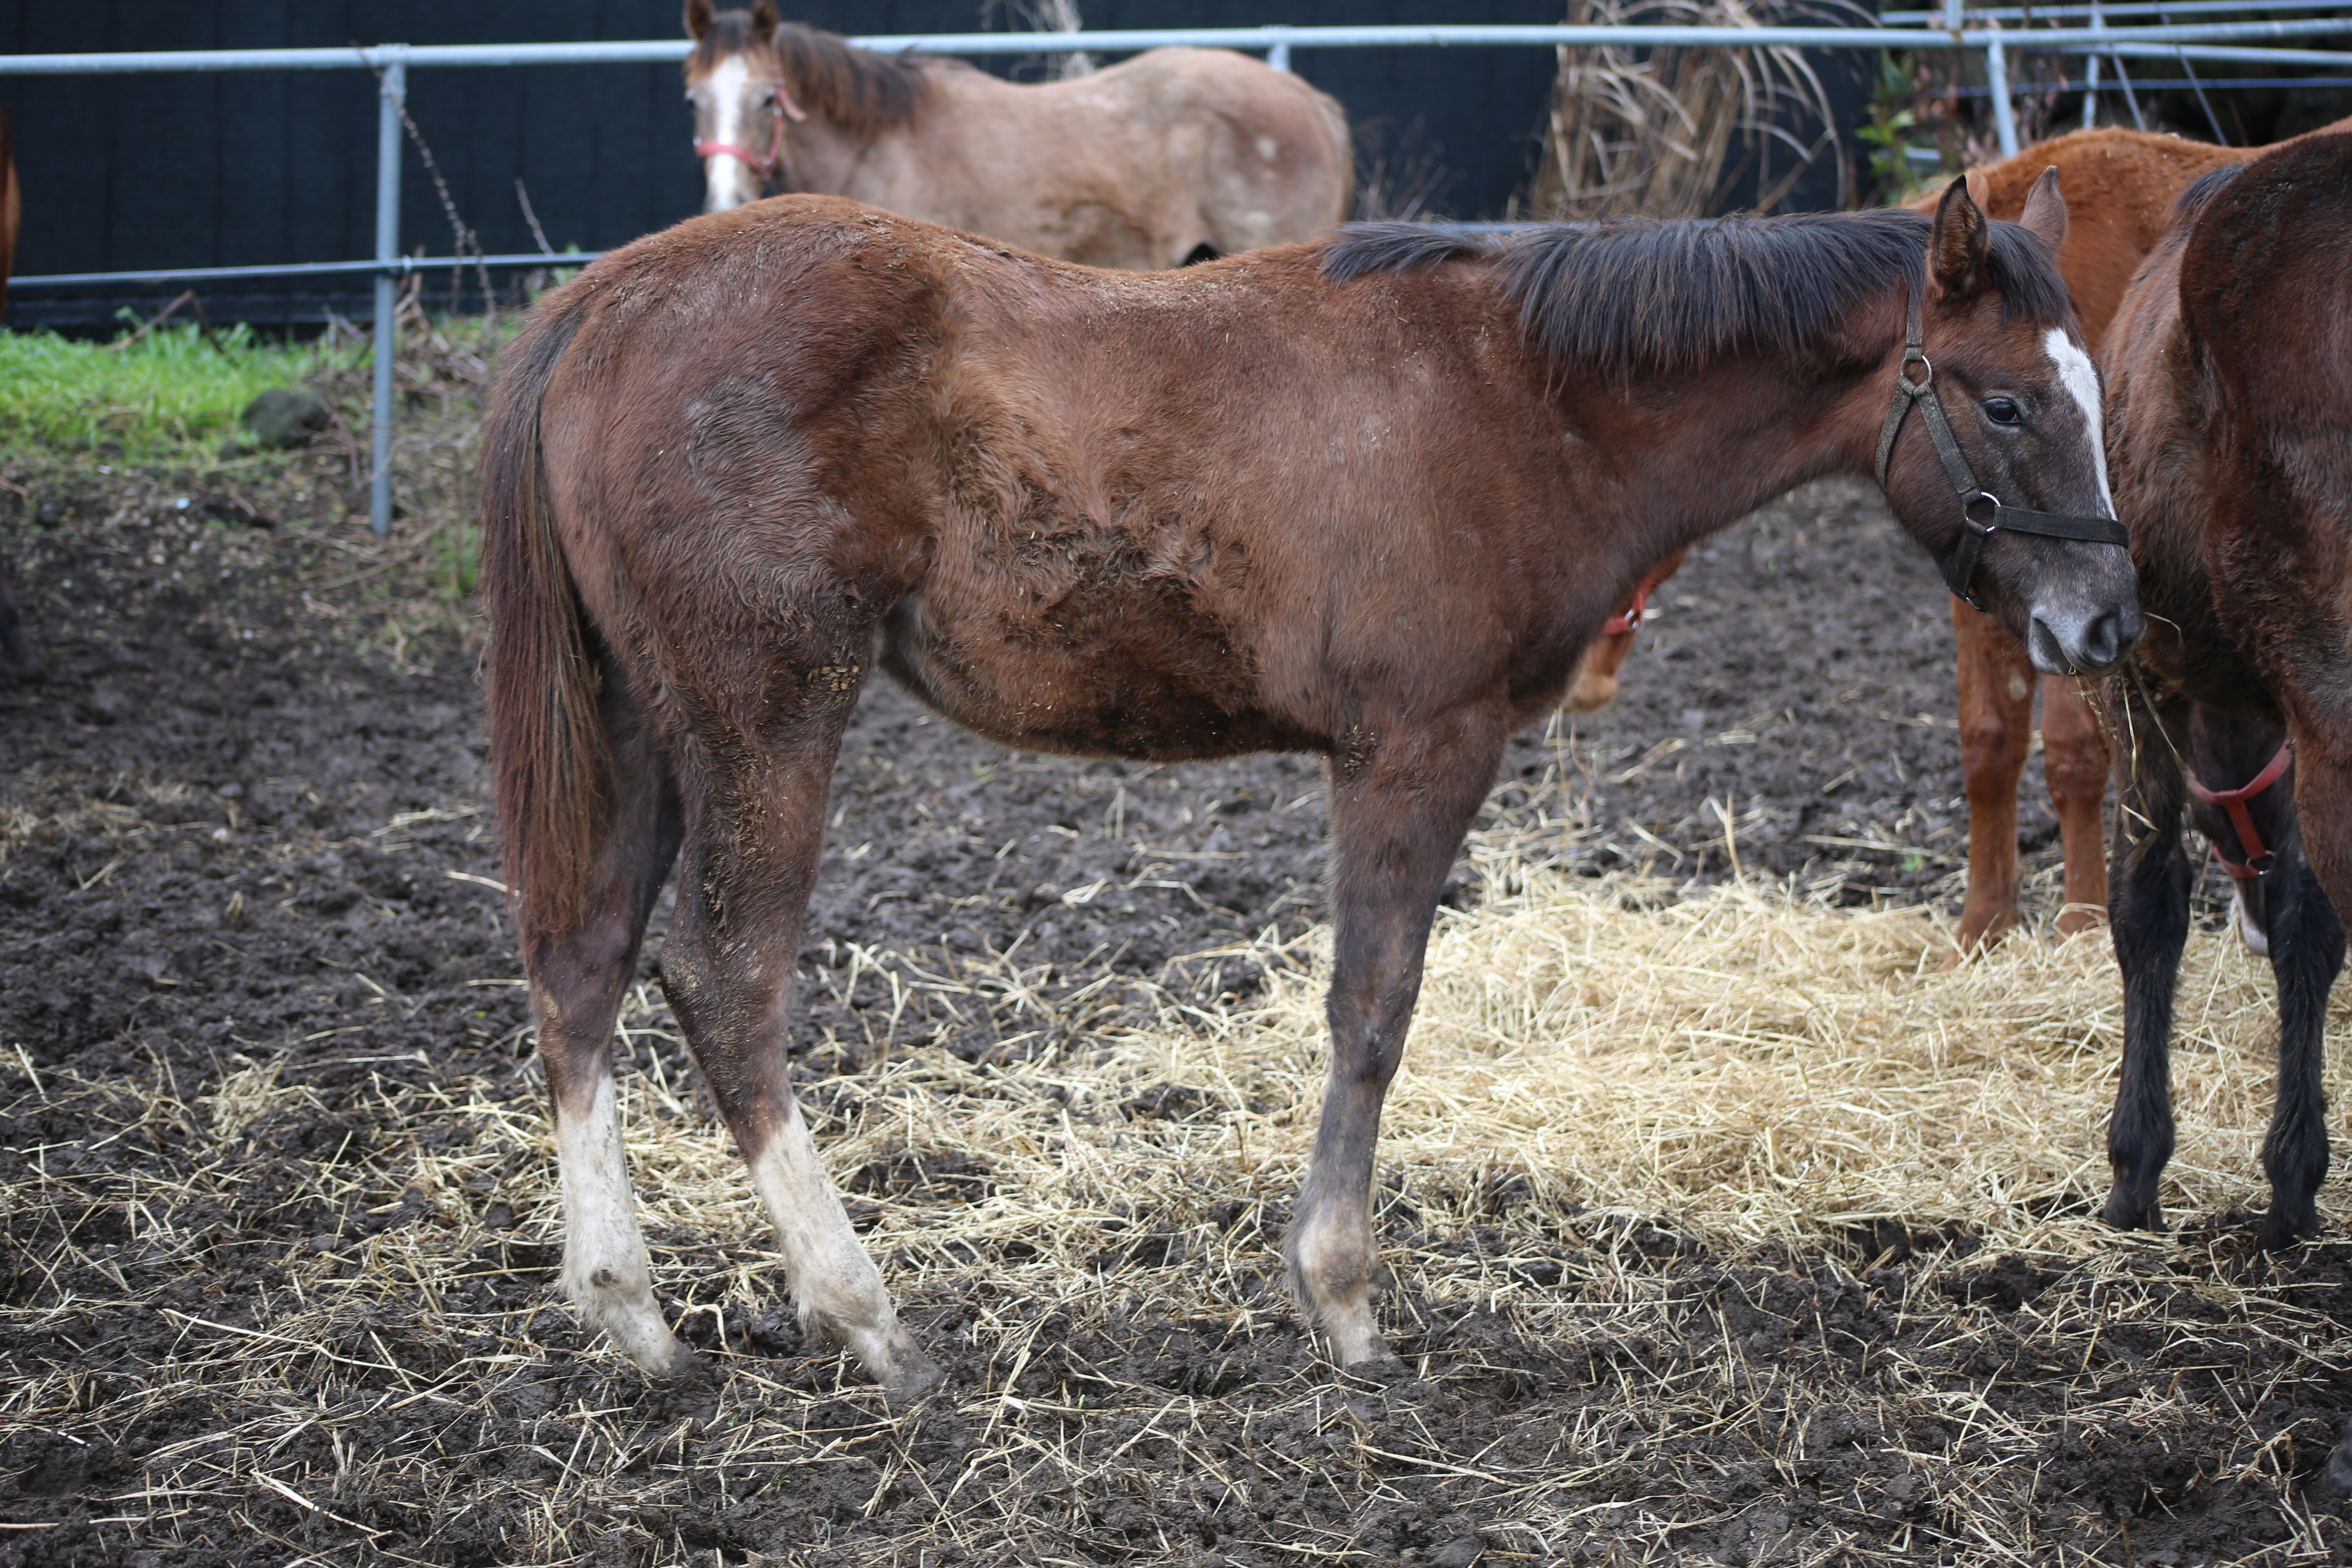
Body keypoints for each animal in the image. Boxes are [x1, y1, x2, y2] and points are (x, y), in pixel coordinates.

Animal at [487, 184, 2145, 1401]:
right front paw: (1343, 1304)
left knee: (582, 971)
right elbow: (1373, 1008)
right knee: (727, 985)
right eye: (2007, 405)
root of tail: (599, 304)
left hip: (648, 728)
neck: (1521, 389)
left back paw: (630, 1316)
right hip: (767, 720)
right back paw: (865, 1318)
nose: (2104, 624)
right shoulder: (1416, 747)